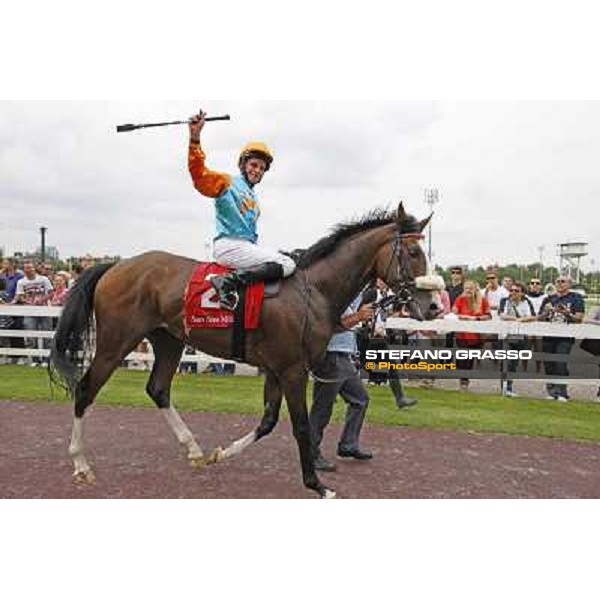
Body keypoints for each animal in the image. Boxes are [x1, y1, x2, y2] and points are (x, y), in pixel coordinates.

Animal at [49, 204, 438, 500]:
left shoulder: (276, 369)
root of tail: (115, 265)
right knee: (85, 389)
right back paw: (80, 464)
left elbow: (267, 421)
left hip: (169, 340)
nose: (433, 305)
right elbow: (300, 425)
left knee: (157, 388)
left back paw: (194, 449)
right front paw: (317, 484)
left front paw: (221, 454)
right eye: (414, 252)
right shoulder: (293, 369)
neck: (313, 290)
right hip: (116, 341)